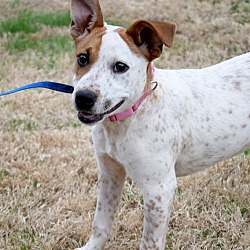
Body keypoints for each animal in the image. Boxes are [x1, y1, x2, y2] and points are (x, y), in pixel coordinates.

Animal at [70, 0, 250, 250]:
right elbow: (101, 223)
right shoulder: (109, 172)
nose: (83, 98)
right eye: (82, 59)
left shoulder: (159, 189)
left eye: (120, 67)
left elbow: (150, 242)